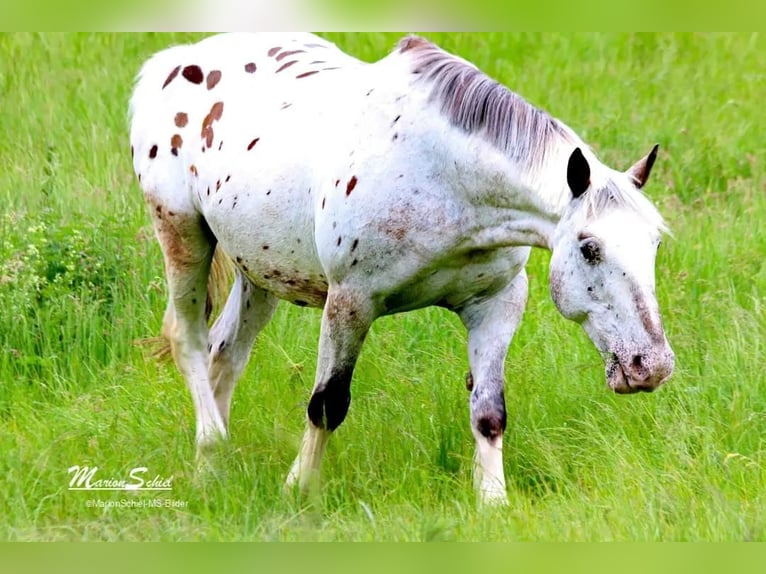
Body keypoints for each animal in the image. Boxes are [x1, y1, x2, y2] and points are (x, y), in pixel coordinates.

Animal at [129, 32, 675, 505]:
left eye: (653, 243)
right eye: (589, 248)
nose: (651, 366)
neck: (447, 177)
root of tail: (170, 64)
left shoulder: (497, 303)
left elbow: (489, 412)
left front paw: (493, 503)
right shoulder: (350, 303)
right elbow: (327, 404)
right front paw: (298, 490)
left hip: (259, 273)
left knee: (225, 354)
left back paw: (212, 473)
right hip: (182, 235)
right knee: (189, 338)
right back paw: (212, 445)